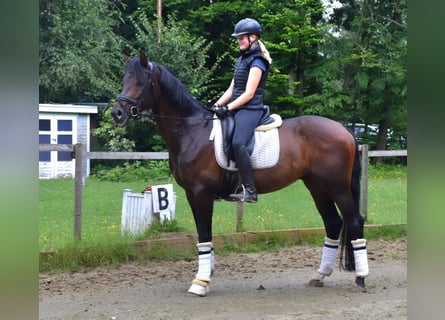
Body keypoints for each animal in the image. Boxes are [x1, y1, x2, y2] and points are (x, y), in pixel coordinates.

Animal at [111, 52, 368, 296]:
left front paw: (200, 282)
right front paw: (207, 272)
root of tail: (343, 129)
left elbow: (204, 233)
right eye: (124, 79)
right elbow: (203, 234)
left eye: (140, 82)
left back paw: (360, 279)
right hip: (316, 185)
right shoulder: (191, 194)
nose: (117, 113)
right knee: (333, 223)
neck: (192, 131)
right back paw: (320, 276)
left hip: (337, 185)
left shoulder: (202, 193)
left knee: (354, 220)